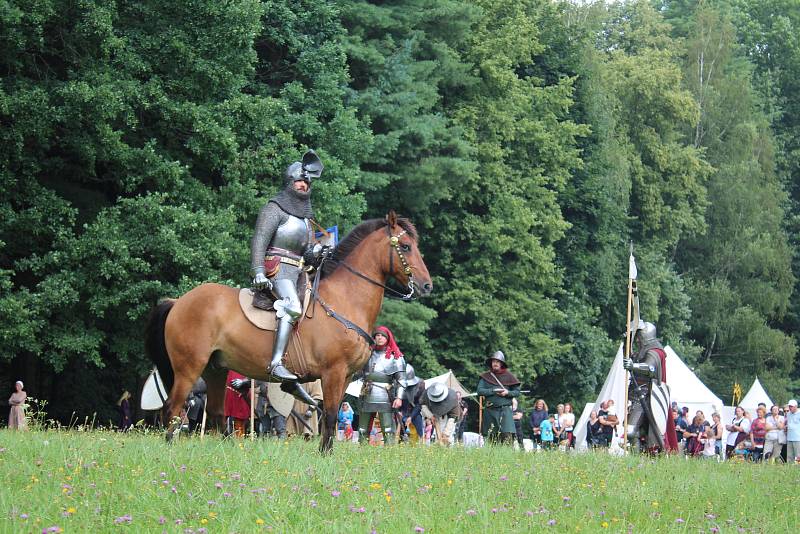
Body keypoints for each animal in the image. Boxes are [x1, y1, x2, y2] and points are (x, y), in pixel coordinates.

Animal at [144, 211, 432, 454]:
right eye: (406, 246)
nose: (426, 286)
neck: (344, 299)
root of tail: (178, 302)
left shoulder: (346, 376)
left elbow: (331, 415)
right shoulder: (334, 373)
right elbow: (329, 415)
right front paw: (324, 456)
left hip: (215, 369)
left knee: (215, 412)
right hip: (189, 367)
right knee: (174, 408)